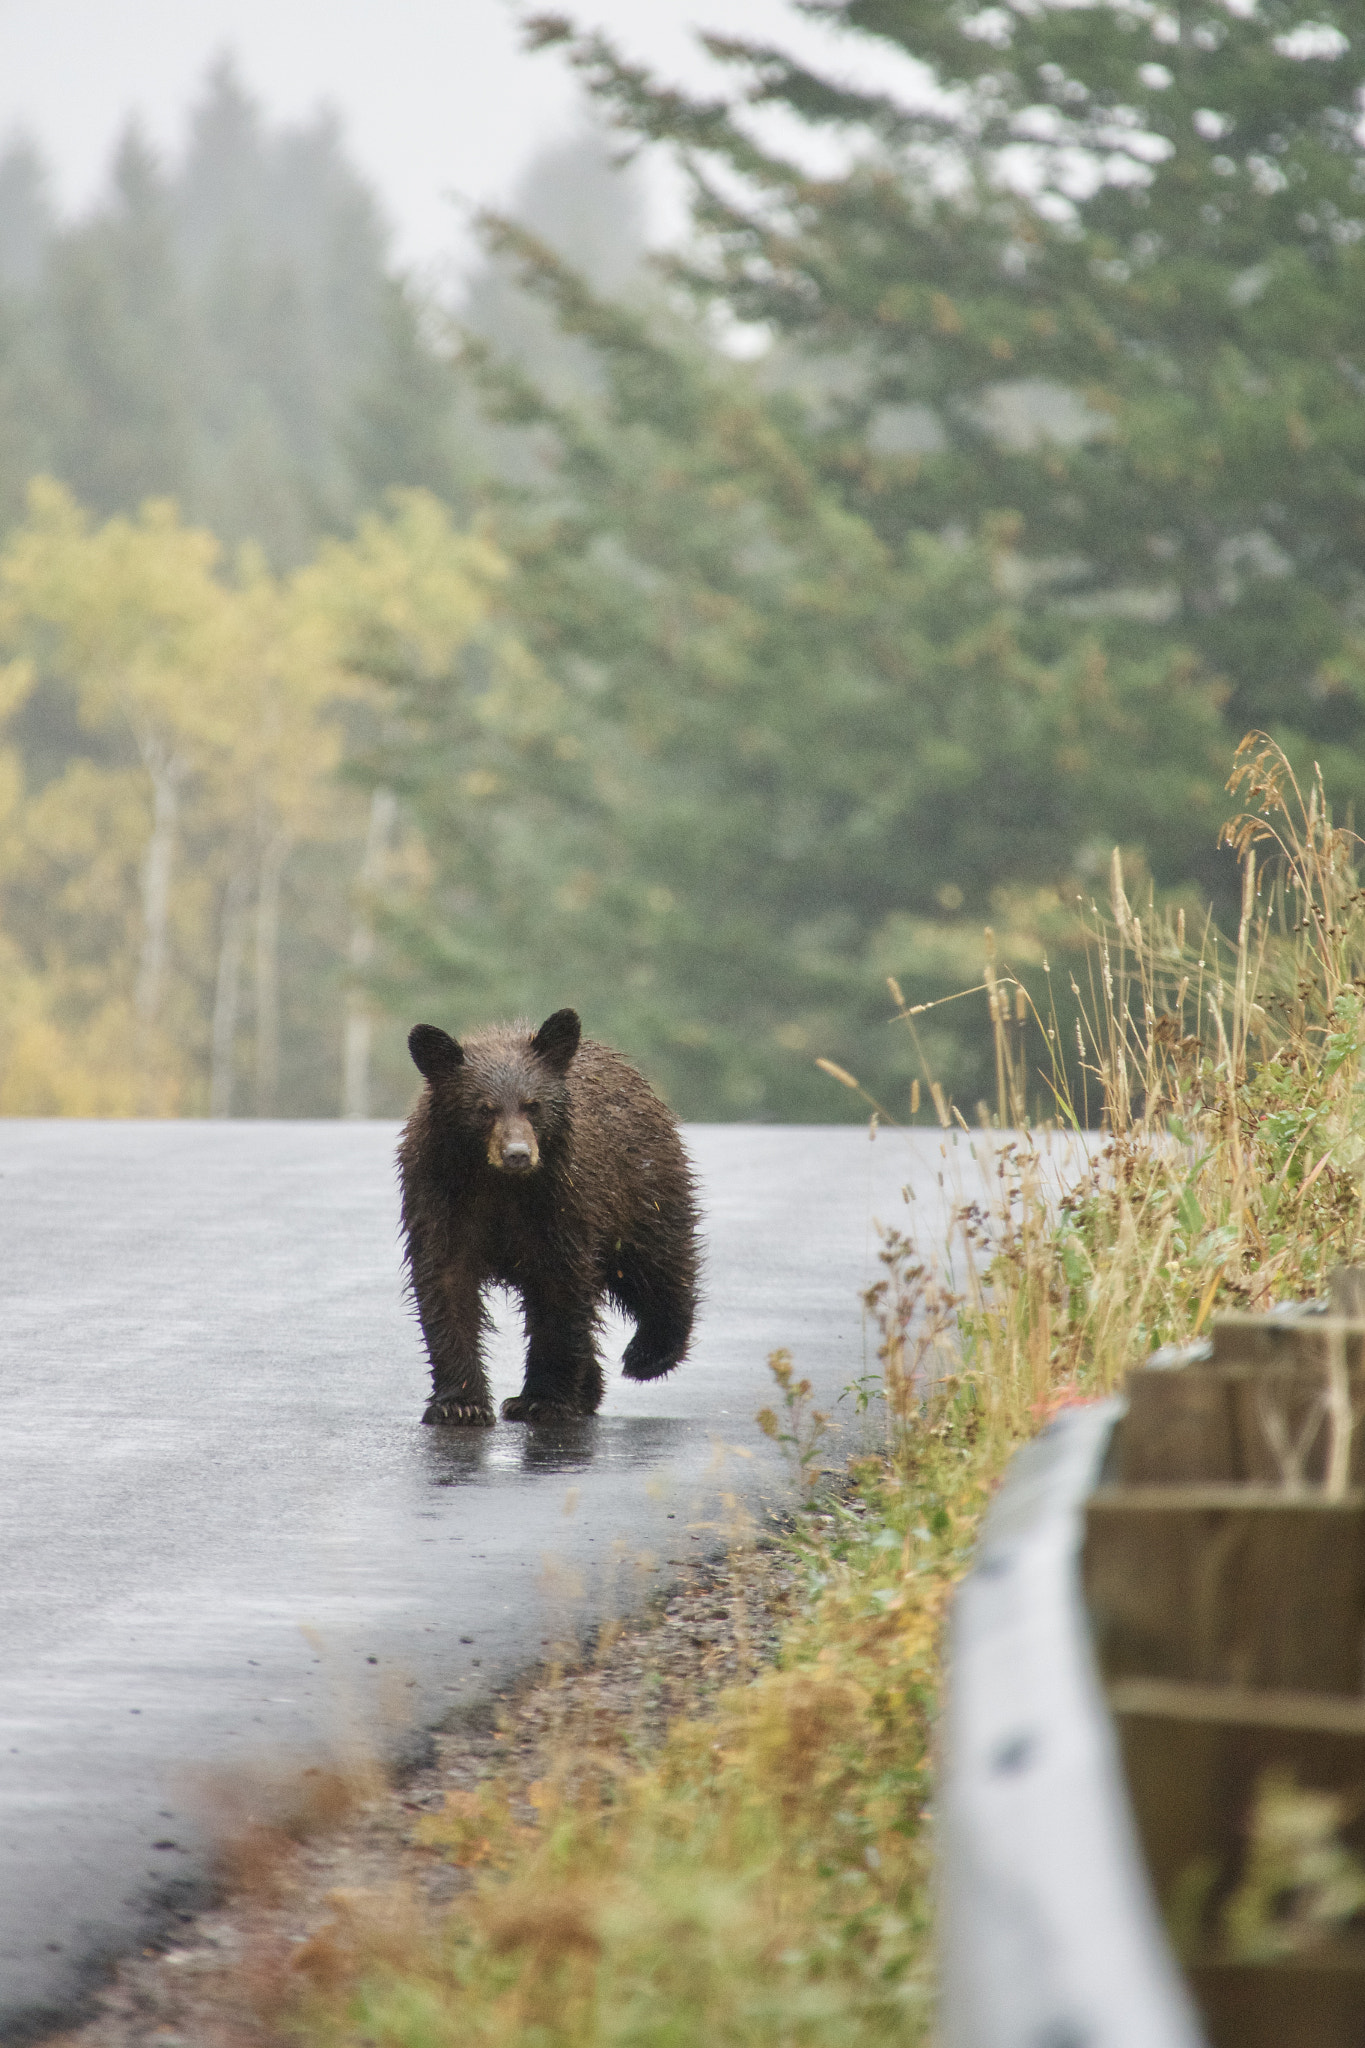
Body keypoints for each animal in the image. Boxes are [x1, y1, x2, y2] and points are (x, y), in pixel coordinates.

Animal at [392, 1007, 695, 1425]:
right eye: (483, 1108)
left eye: (532, 1104)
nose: (517, 1154)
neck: (500, 1185)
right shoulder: (439, 1200)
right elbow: (446, 1284)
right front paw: (460, 1404)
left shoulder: (563, 1207)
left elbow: (559, 1293)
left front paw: (541, 1399)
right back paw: (589, 1387)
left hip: (643, 1191)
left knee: (658, 1265)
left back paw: (648, 1356)